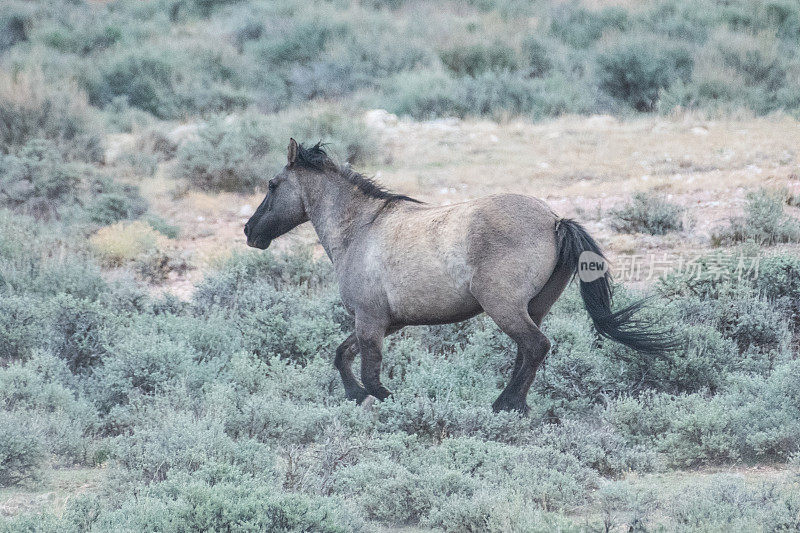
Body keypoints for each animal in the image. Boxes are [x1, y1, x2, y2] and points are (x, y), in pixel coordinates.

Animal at [245, 138, 676, 412]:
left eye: (272, 184)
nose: (250, 232)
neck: (362, 228)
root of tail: (556, 221)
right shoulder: (386, 323)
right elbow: (341, 356)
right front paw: (356, 397)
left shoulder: (370, 321)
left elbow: (369, 373)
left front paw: (379, 399)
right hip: (532, 308)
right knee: (527, 352)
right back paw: (514, 403)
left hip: (503, 306)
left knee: (535, 346)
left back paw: (506, 405)